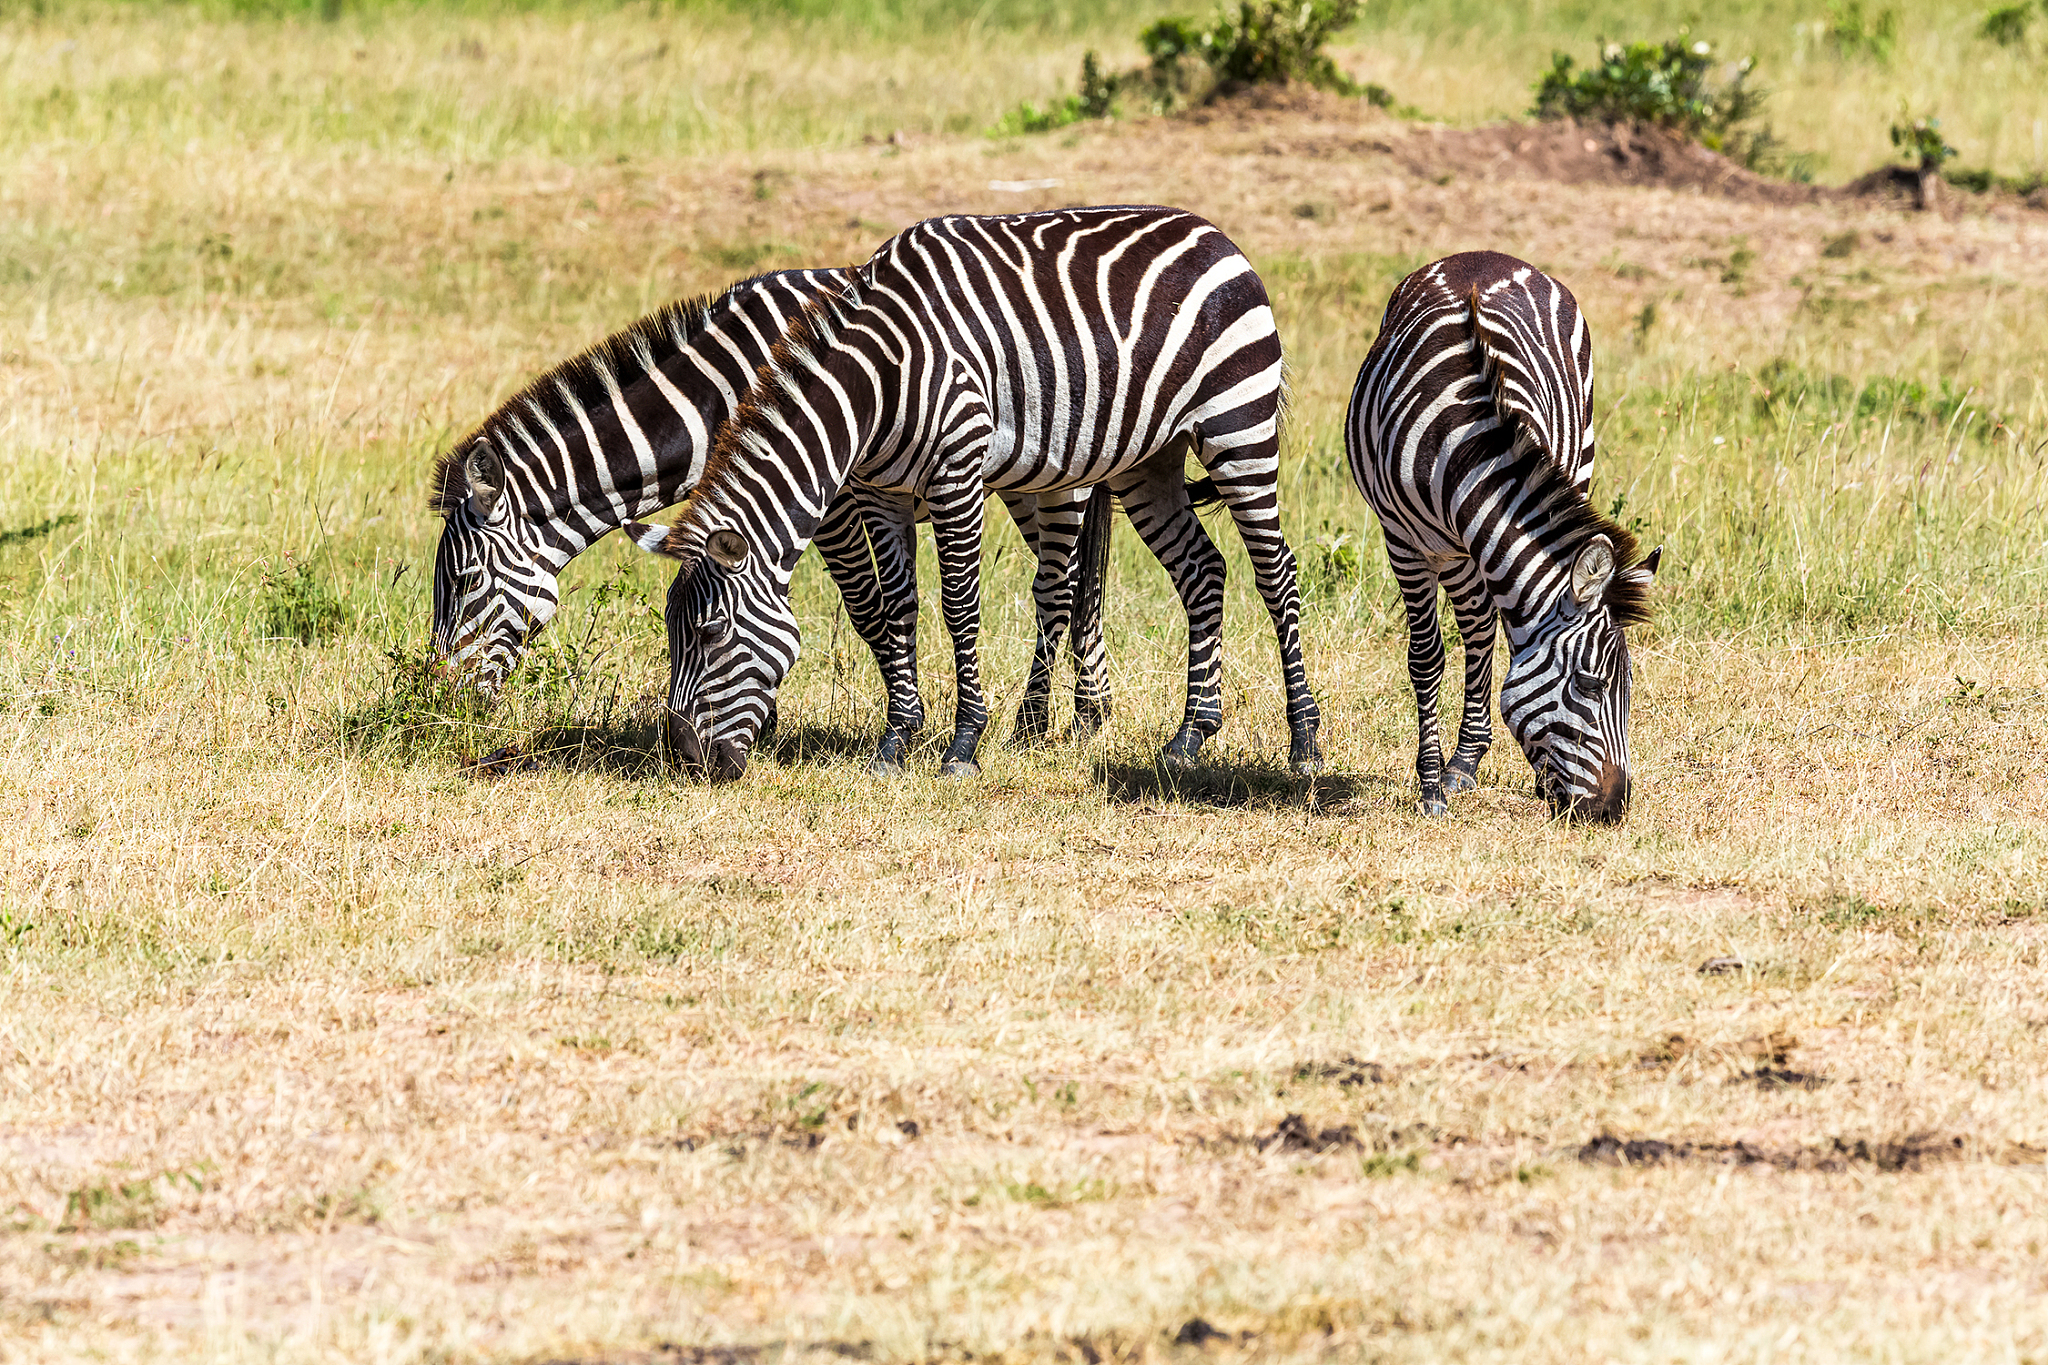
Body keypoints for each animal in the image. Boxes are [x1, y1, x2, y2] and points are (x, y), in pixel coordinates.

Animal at [427, 267, 1114, 748]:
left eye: (464, 581)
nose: (440, 703)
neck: (720, 399)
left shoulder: (833, 501)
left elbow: (869, 611)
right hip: (1030, 480)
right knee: (1076, 581)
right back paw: (1089, 712)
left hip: (1059, 477)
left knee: (1065, 583)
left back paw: (1046, 721)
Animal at [630, 205, 1322, 784]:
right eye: (670, 630)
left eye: (713, 633)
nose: (686, 759)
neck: (876, 380)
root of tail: (1215, 233)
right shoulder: (880, 492)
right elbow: (898, 607)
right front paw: (896, 742)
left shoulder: (956, 474)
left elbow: (959, 607)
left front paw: (963, 744)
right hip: (1147, 461)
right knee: (1202, 571)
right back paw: (1190, 736)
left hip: (1238, 427)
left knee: (1276, 571)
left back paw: (1304, 739)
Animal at [1345, 250, 1659, 822]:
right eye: (1590, 684)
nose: (1613, 810)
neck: (1465, 449)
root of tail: (1488, 257)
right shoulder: (1403, 541)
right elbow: (1426, 658)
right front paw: (1430, 787)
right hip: (1451, 552)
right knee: (1475, 630)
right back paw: (1458, 765)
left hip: (1575, 457)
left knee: (1482, 629)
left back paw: (1469, 761)